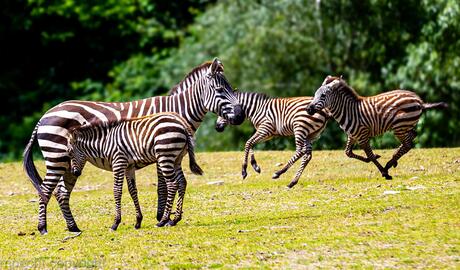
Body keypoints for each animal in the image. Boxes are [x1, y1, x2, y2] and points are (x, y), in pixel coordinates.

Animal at [68, 112, 203, 230]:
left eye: (69, 153)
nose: (75, 173)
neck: (105, 142)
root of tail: (181, 123)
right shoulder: (129, 167)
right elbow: (133, 191)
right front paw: (138, 221)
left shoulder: (118, 162)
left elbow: (117, 191)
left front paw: (116, 223)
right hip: (176, 158)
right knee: (182, 182)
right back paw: (174, 220)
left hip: (165, 155)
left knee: (172, 184)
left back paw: (163, 220)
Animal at [308, 75, 448, 179]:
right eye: (314, 94)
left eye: (323, 96)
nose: (308, 109)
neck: (348, 111)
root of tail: (420, 101)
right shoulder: (352, 135)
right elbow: (348, 152)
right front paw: (376, 159)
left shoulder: (362, 135)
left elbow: (369, 155)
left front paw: (384, 172)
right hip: (405, 126)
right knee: (412, 136)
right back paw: (394, 160)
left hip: (400, 126)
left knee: (408, 144)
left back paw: (389, 164)